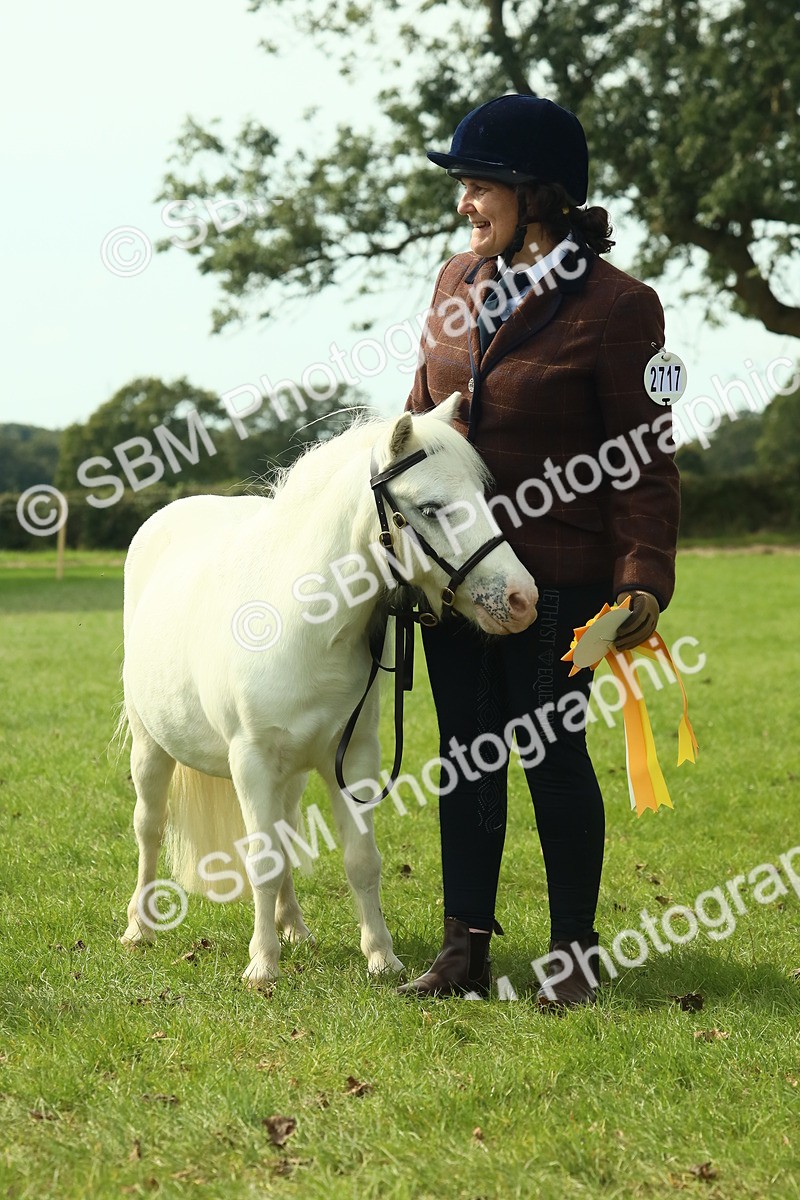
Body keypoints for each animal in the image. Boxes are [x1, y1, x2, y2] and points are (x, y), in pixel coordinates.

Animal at [119, 392, 539, 986]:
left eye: (483, 495)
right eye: (431, 507)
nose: (523, 598)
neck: (305, 626)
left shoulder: (354, 758)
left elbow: (359, 860)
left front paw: (382, 957)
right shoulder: (251, 763)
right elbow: (261, 860)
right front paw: (262, 965)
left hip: (291, 775)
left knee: (286, 834)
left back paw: (294, 926)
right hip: (151, 747)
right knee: (150, 828)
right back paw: (141, 928)